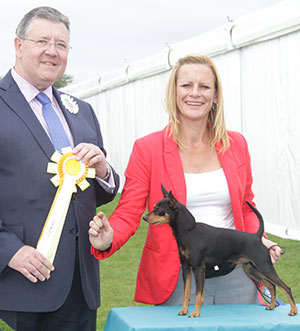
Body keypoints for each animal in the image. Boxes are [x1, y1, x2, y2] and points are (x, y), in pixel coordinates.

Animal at [143, 187, 298, 320]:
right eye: (154, 207)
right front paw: (184, 310)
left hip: (264, 267)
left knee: (285, 287)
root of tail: (256, 236)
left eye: (158, 209)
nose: (144, 217)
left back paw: (293, 310)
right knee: (271, 285)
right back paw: (272, 305)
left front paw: (195, 313)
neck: (189, 231)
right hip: (252, 269)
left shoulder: (199, 268)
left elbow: (198, 294)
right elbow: (187, 292)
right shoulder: (186, 268)